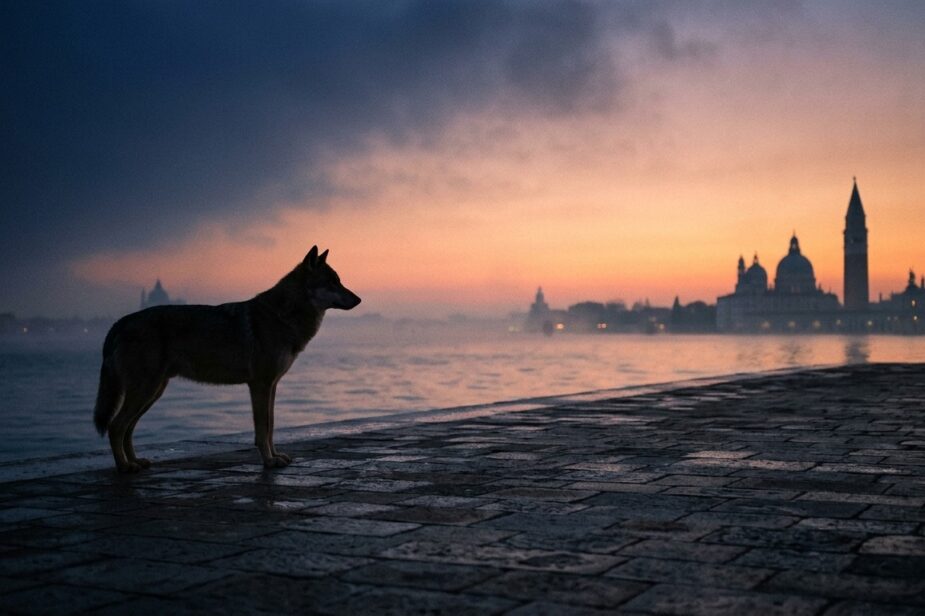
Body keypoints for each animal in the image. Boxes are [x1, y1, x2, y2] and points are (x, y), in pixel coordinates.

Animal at [93, 246, 361, 473]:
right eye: (333, 282)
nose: (358, 299)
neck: (282, 316)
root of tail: (120, 322)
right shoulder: (260, 385)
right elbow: (263, 428)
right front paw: (268, 461)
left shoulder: (272, 385)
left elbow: (271, 426)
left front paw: (276, 457)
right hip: (145, 391)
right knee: (116, 426)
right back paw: (125, 467)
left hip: (152, 392)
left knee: (127, 429)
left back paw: (136, 461)